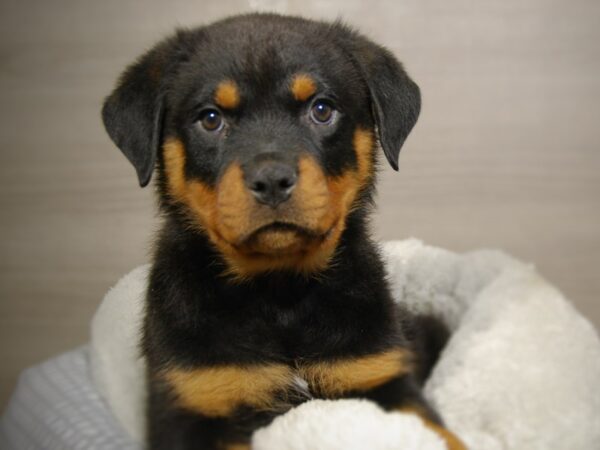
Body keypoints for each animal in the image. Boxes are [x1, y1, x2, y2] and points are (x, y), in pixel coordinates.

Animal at [103, 12, 466, 448]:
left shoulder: (378, 375)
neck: (280, 294)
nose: (272, 179)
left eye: (322, 109)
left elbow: (440, 434)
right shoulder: (195, 400)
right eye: (210, 119)